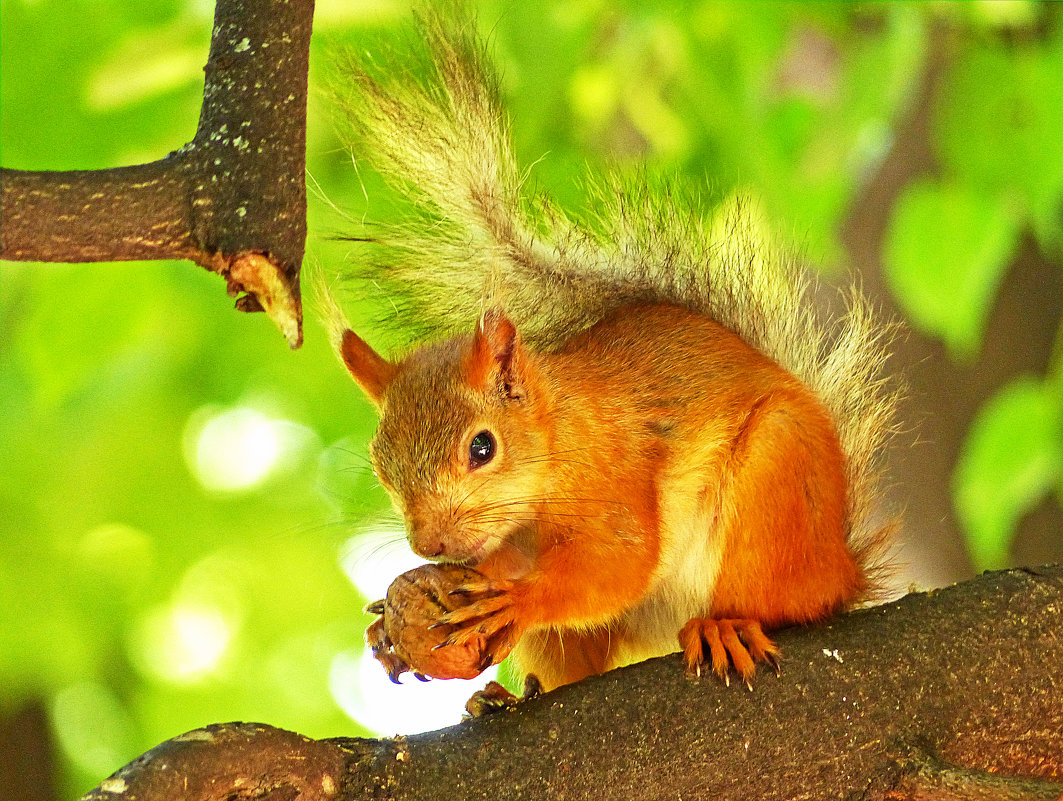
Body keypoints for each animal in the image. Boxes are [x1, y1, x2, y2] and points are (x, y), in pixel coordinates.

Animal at [325, 7, 897, 692]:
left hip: (778, 483)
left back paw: (726, 624)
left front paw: (519, 598)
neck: (554, 442)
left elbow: (621, 561)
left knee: (780, 597)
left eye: (482, 448)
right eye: (381, 464)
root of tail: (842, 567)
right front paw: (390, 624)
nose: (430, 546)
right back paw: (504, 697)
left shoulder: (615, 471)